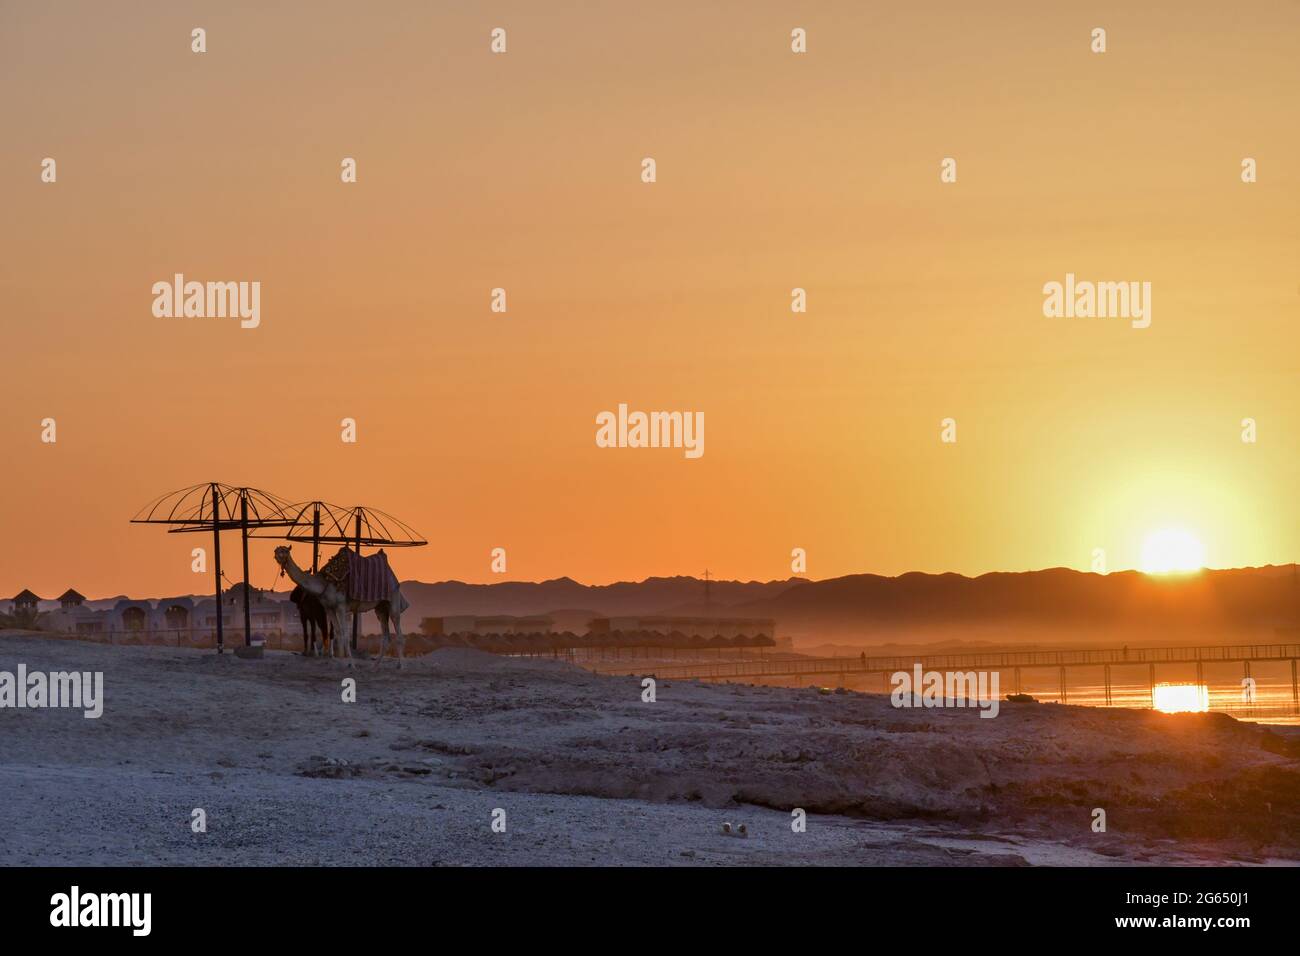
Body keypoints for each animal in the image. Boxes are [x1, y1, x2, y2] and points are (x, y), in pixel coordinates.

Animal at [276, 541, 408, 671]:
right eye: (276, 550)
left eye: (285, 551)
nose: (278, 556)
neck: (324, 583)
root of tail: (394, 578)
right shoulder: (329, 608)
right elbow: (338, 632)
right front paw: (342, 663)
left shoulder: (341, 607)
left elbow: (345, 634)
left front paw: (352, 665)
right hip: (381, 608)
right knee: (385, 636)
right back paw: (374, 666)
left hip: (394, 599)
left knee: (399, 632)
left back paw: (400, 666)